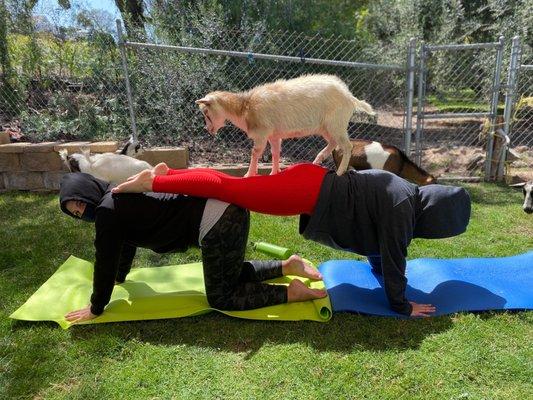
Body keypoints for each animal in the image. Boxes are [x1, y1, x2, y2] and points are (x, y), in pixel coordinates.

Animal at [195, 74, 374, 177]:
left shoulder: (261, 134)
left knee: (347, 146)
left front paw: (248, 175)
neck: (245, 108)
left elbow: (255, 153)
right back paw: (318, 159)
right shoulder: (274, 136)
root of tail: (350, 97)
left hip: (336, 123)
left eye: (206, 112)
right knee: (334, 142)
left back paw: (340, 171)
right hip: (327, 127)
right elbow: (275, 153)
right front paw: (274, 173)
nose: (208, 129)